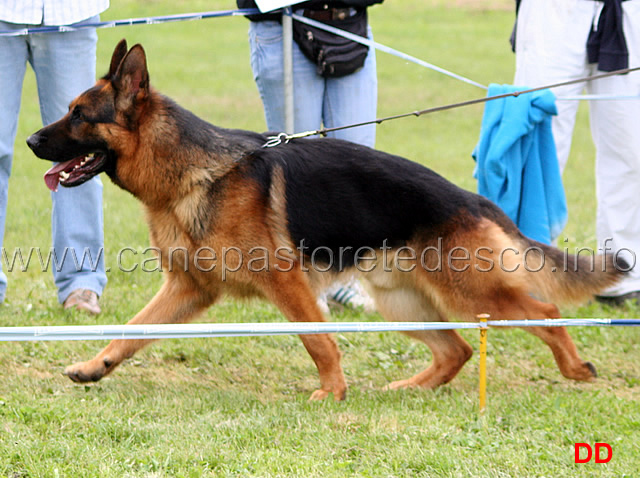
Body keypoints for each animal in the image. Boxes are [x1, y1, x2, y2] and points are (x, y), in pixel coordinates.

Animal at [27, 40, 624, 400]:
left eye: (78, 115)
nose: (31, 140)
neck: (193, 173)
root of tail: (472, 199)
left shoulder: (285, 283)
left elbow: (318, 340)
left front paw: (332, 392)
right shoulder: (189, 290)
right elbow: (131, 331)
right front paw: (94, 367)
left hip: (473, 293)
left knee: (545, 311)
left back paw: (575, 370)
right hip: (401, 305)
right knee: (456, 348)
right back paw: (411, 388)